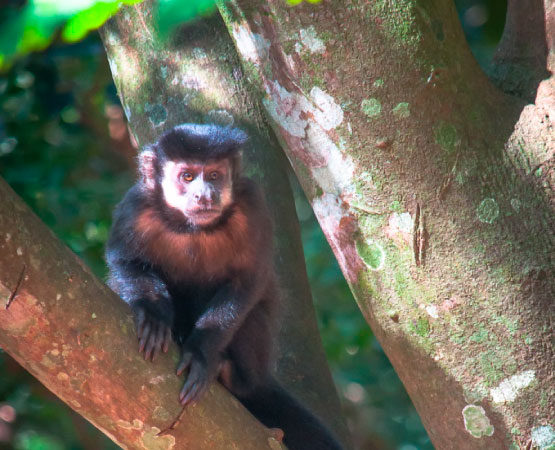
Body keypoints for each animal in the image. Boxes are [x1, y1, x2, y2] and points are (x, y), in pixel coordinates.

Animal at [105, 123, 344, 450]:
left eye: (215, 175)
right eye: (187, 176)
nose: (205, 194)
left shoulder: (253, 206)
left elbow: (248, 280)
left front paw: (201, 353)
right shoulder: (136, 206)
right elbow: (125, 261)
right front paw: (154, 314)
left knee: (252, 321)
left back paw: (232, 377)